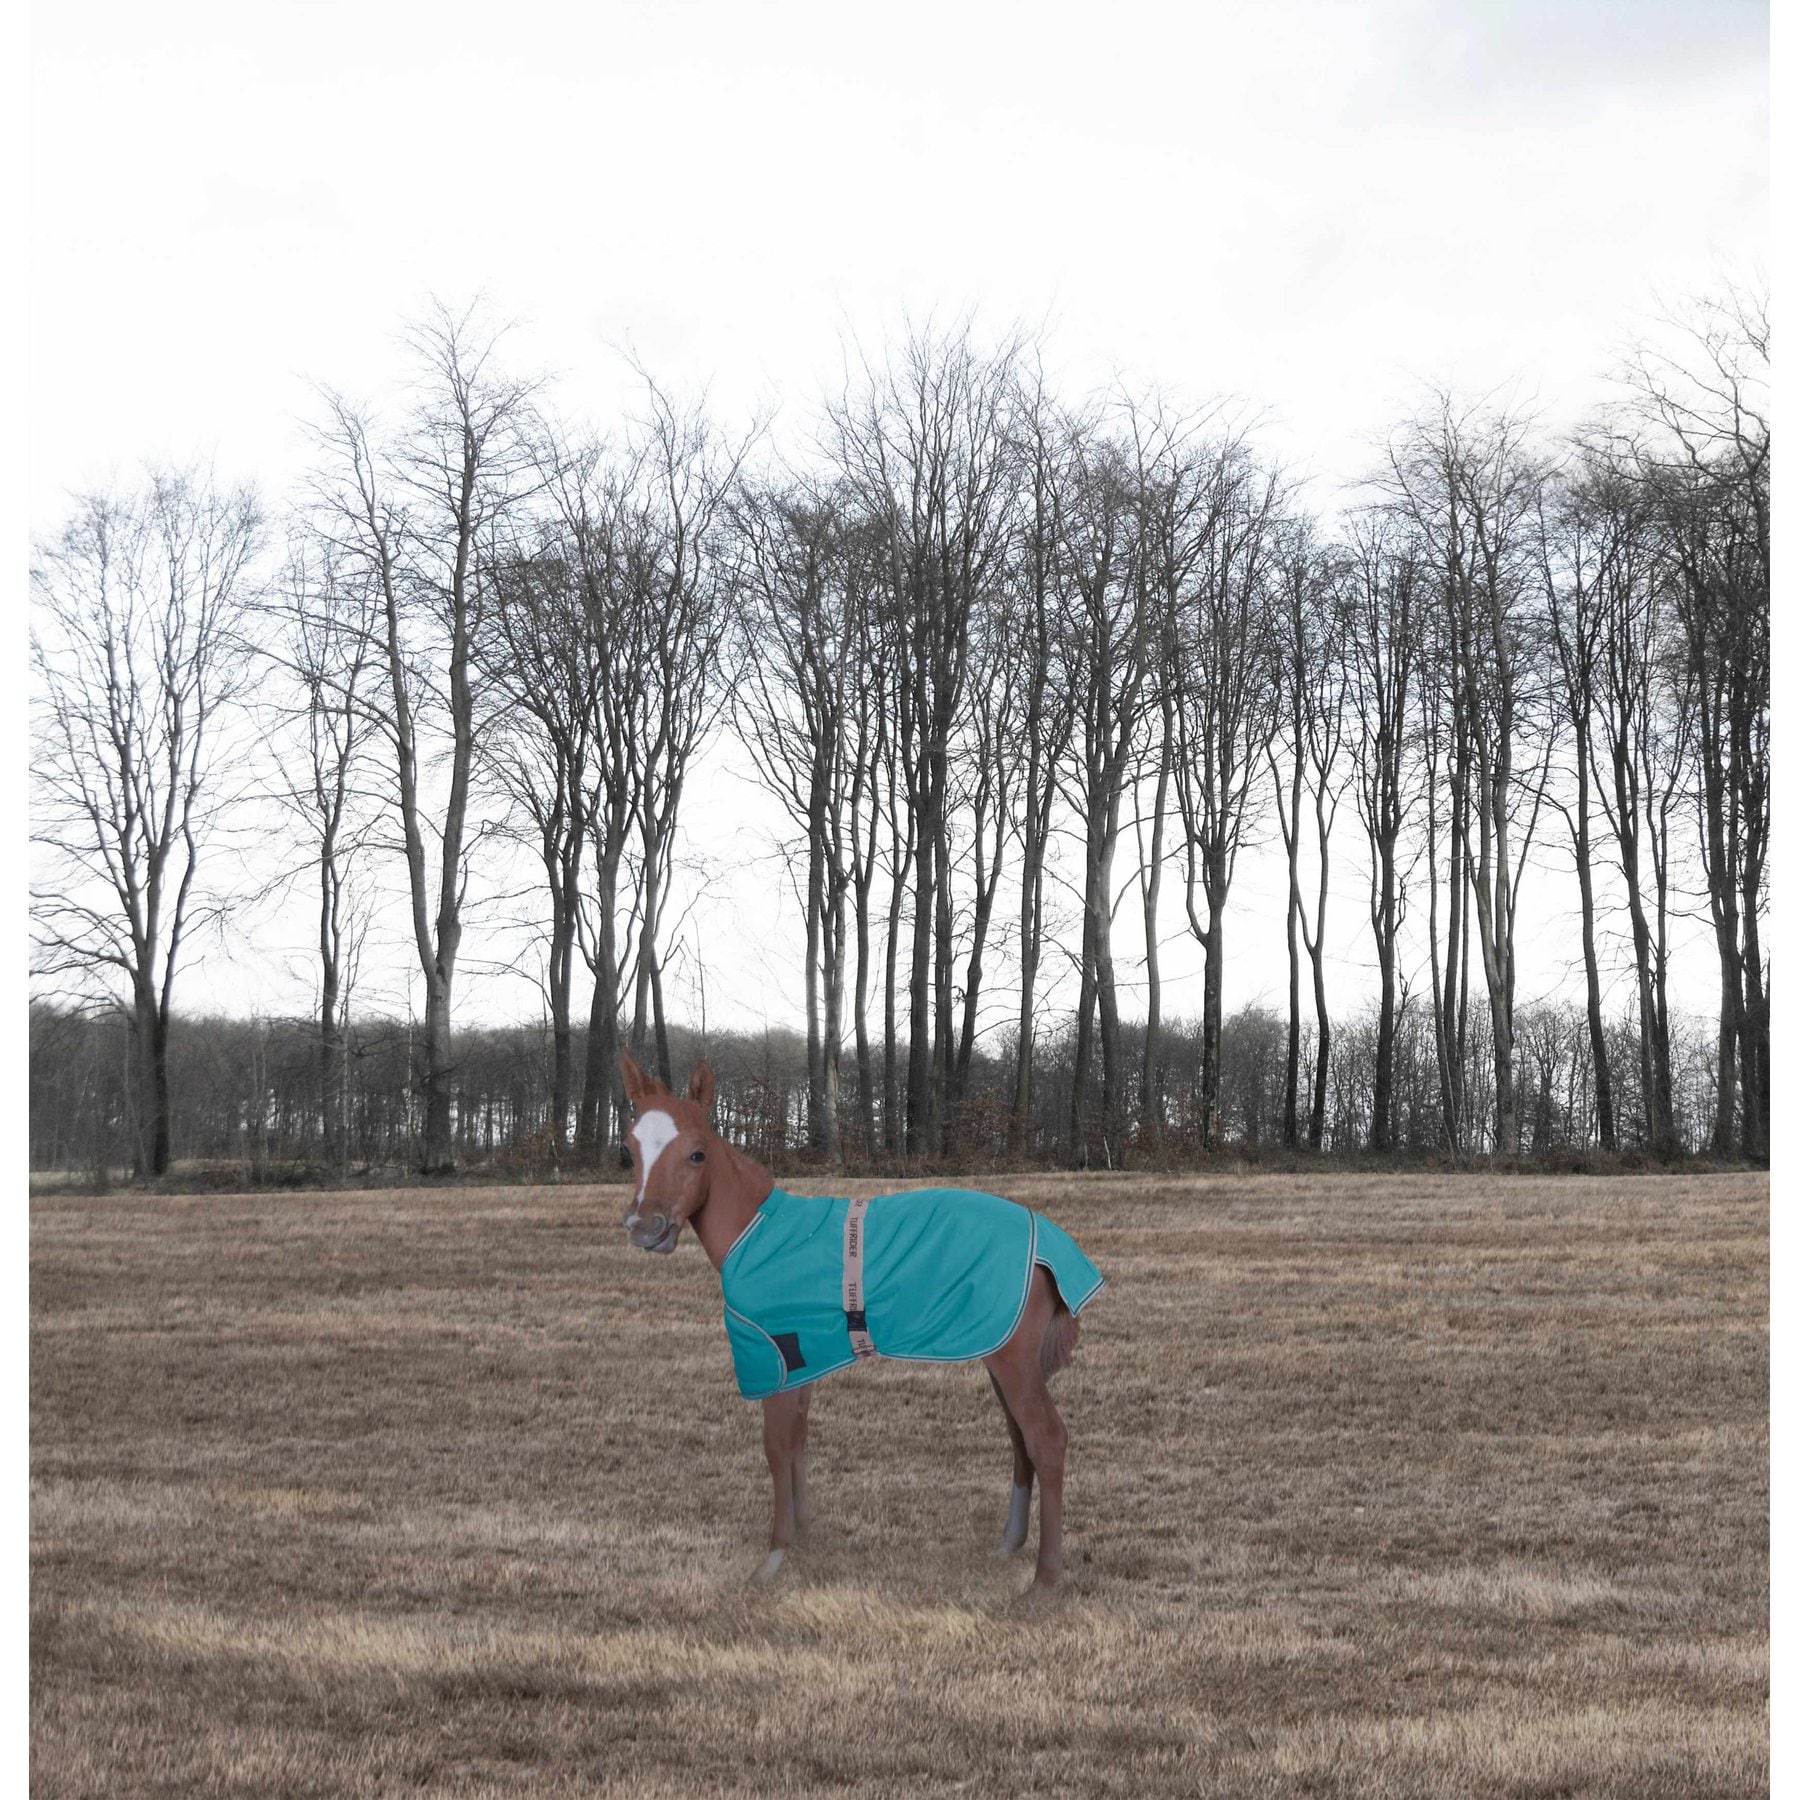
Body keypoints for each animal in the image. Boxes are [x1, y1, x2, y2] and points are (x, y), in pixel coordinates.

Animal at [616, 1051, 1104, 1588]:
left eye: (697, 1154)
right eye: (629, 1148)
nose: (645, 1229)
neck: (756, 1234)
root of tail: (1051, 1243)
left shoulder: (775, 1356)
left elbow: (775, 1445)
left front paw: (774, 1556)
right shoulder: (803, 1358)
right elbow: (798, 1438)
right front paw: (803, 1533)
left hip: (1013, 1360)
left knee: (1047, 1440)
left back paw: (1045, 1580)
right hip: (1000, 1355)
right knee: (1021, 1441)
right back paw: (1010, 1545)